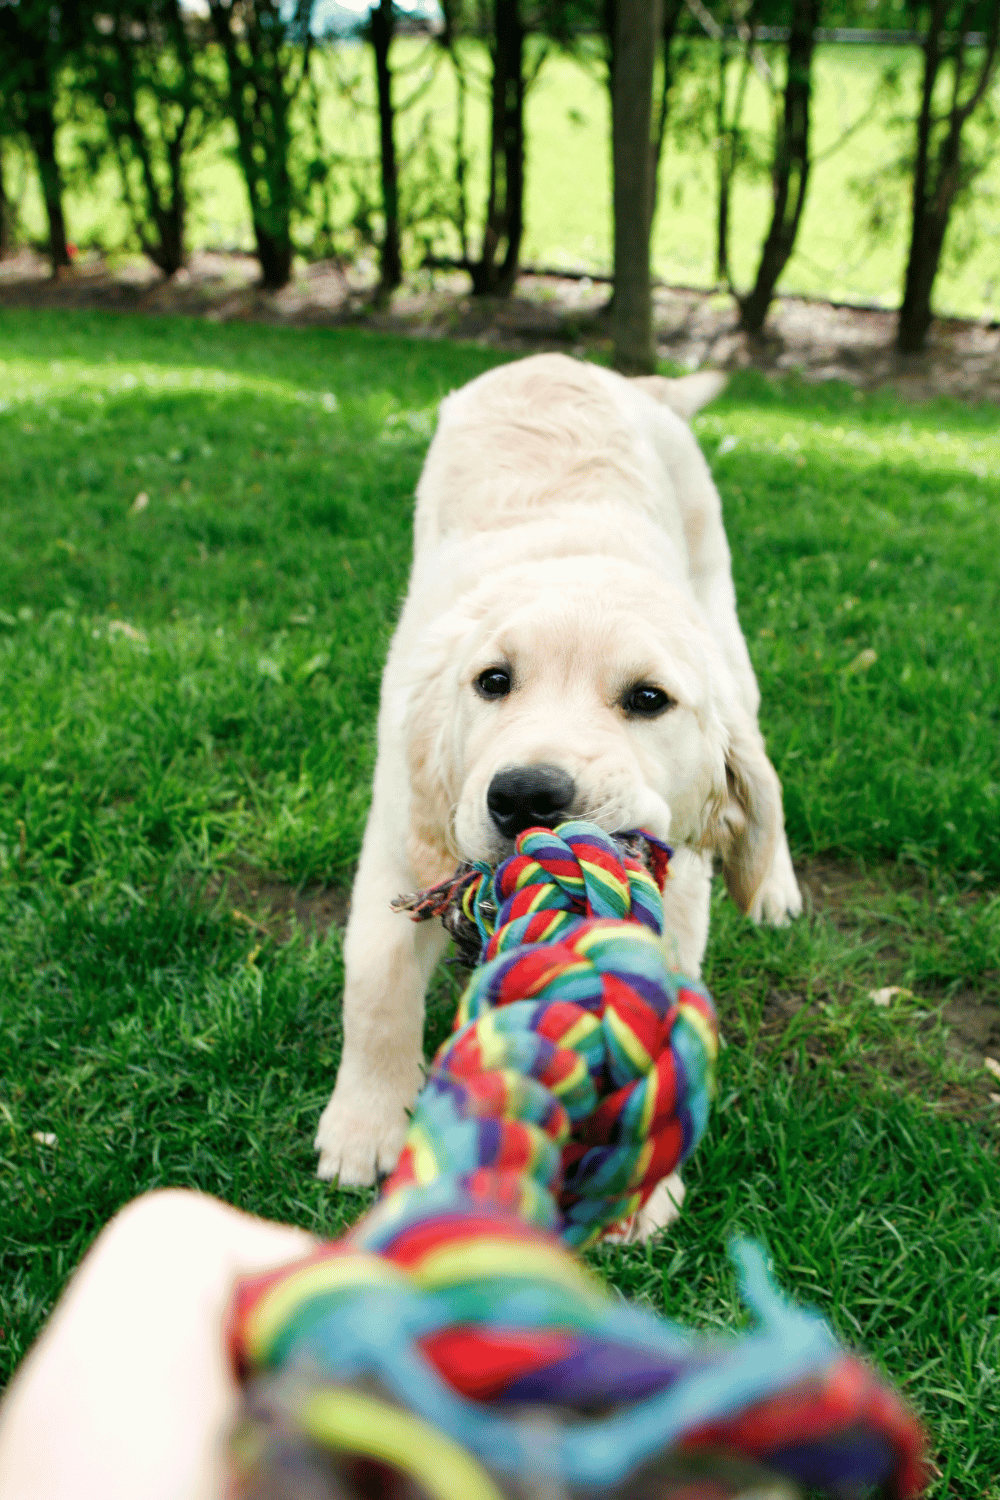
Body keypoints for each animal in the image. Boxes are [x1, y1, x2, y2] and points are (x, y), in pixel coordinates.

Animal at [316, 351, 803, 1182]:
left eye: (648, 699)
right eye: (493, 682)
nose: (525, 796)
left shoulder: (677, 868)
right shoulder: (403, 831)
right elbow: (377, 980)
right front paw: (365, 1126)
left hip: (724, 612)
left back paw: (773, 883)